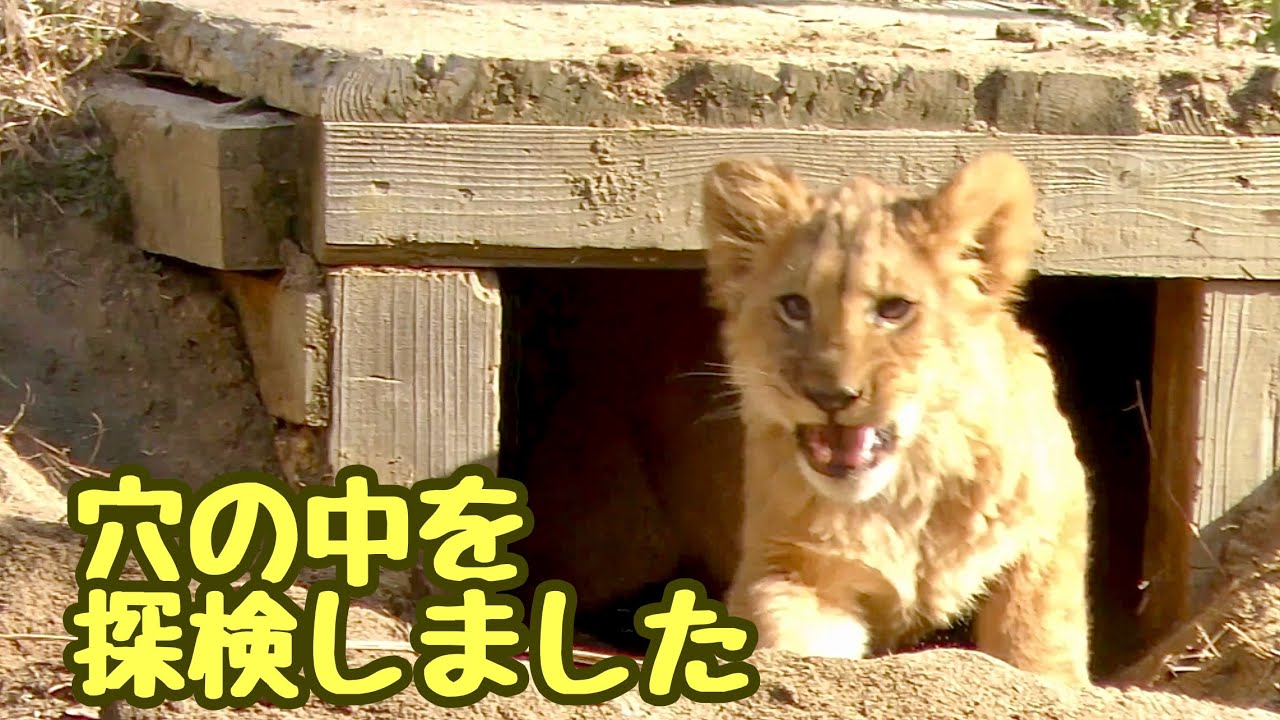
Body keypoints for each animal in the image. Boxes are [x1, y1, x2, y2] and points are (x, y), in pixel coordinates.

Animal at [701, 151, 1093, 687]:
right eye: (795, 306)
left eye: (894, 309)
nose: (830, 395)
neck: (905, 503)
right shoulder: (792, 566)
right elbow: (791, 648)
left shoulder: (1050, 527)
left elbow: (1035, 638)